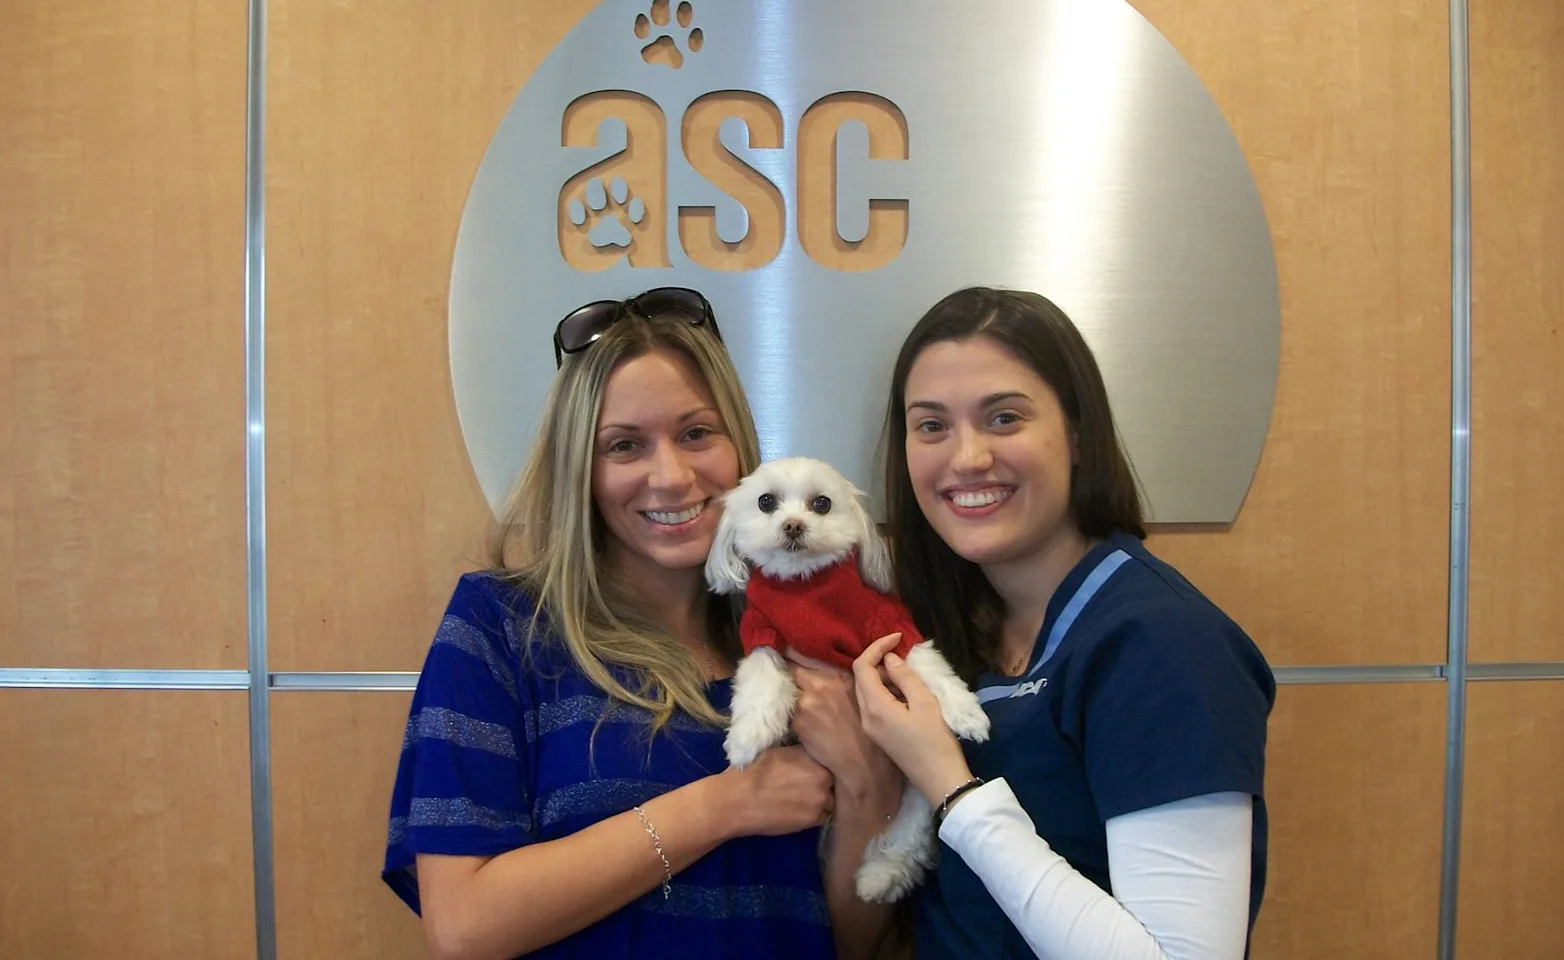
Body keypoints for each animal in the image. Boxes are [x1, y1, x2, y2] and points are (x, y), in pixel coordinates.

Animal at [710, 456, 988, 900]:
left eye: (822, 503)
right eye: (766, 502)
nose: (793, 525)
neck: (808, 594)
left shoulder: (889, 626)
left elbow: (928, 664)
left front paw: (966, 712)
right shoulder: (761, 631)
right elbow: (760, 678)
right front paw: (747, 738)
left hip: (916, 780)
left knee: (912, 830)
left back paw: (881, 875)